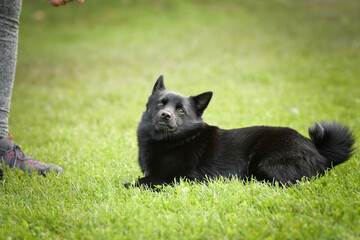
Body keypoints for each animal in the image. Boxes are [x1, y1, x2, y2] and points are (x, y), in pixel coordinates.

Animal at [125, 76, 356, 188]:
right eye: (160, 103)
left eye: (181, 110)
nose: (165, 115)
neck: (175, 140)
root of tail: (316, 150)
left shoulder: (169, 178)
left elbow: (134, 183)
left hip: (264, 164)